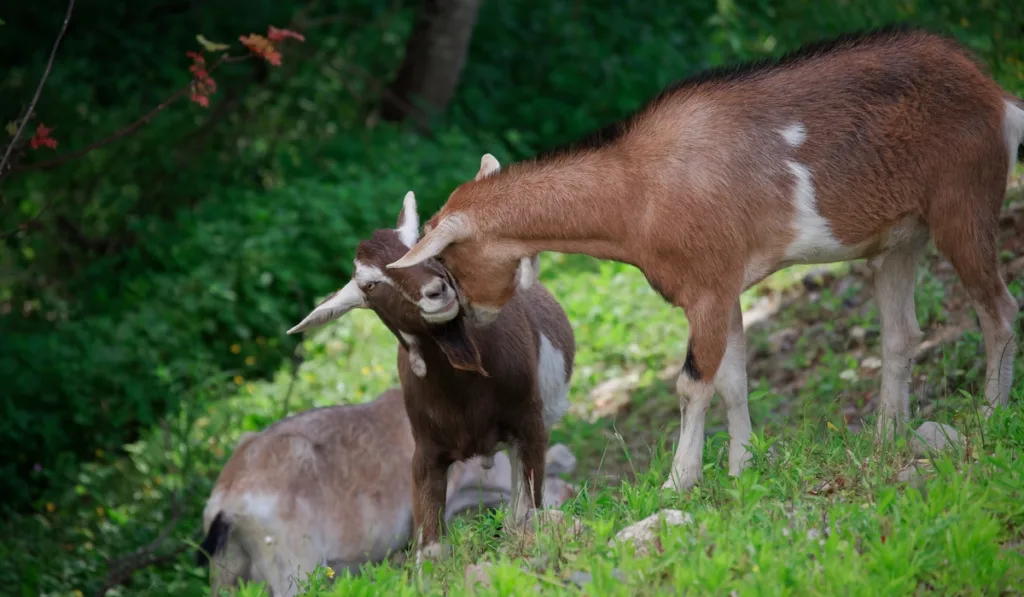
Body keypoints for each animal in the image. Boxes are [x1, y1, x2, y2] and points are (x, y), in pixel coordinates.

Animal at [286, 191, 577, 561]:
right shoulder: (426, 453)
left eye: (416, 245)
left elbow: (525, 516)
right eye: (371, 284)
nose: (437, 291)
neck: (467, 394)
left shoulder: (529, 425)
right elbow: (431, 550)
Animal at [385, 26, 1024, 495]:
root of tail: (999, 99)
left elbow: (694, 384)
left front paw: (679, 482)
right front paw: (744, 468)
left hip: (964, 205)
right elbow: (734, 382)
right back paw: (886, 438)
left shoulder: (708, 288)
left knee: (999, 309)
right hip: (900, 239)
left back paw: (991, 414)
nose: (478, 319)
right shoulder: (729, 288)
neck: (636, 191)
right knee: (902, 334)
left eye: (447, 266)